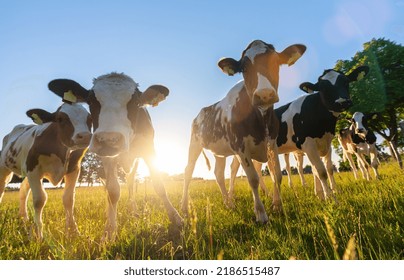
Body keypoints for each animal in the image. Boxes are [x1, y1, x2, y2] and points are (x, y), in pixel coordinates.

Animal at [0, 103, 91, 238]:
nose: (84, 136)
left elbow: (69, 199)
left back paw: (24, 217)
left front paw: (73, 232)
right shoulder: (33, 169)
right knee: (2, 188)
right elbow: (39, 200)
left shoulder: (74, 169)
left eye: (90, 119)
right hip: (5, 167)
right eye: (60, 119)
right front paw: (38, 234)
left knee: (23, 189)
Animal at [46, 73, 182, 240]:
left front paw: (176, 219)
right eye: (91, 101)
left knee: (130, 183)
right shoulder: (108, 157)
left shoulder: (148, 149)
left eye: (135, 102)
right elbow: (112, 191)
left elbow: (158, 185)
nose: (109, 139)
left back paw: (134, 211)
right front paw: (109, 231)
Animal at [181, 39, 304, 223]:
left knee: (218, 174)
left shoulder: (272, 143)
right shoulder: (240, 147)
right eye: (244, 68)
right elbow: (252, 178)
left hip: (219, 152)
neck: (260, 119)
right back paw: (183, 207)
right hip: (194, 143)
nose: (265, 94)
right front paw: (261, 214)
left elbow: (276, 175)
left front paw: (278, 206)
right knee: (188, 171)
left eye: (275, 62)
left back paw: (228, 203)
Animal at [227, 66, 370, 199]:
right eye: (322, 88)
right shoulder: (307, 143)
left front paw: (328, 192)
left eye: (346, 82)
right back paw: (230, 197)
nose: (342, 102)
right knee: (233, 169)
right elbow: (321, 171)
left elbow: (328, 169)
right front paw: (329, 197)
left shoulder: (327, 143)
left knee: (257, 168)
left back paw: (267, 193)